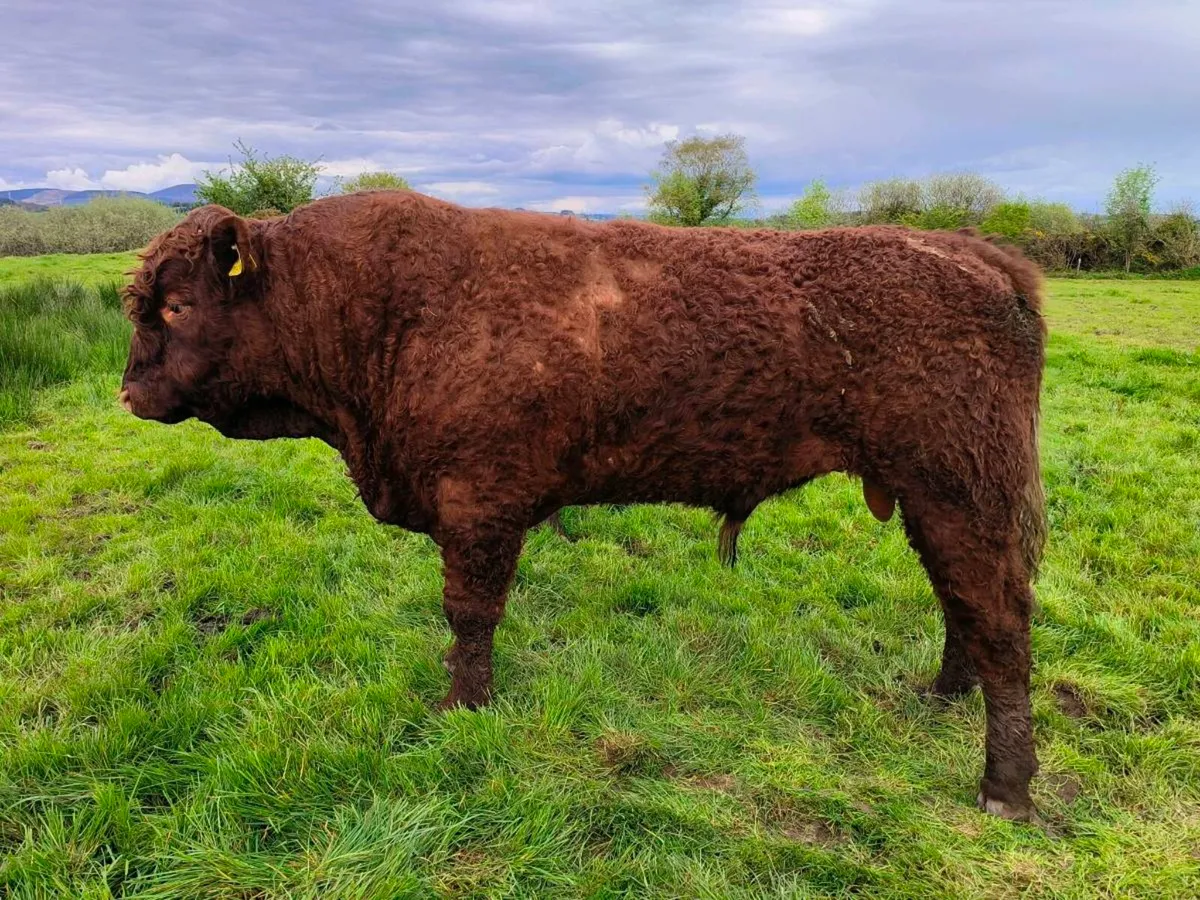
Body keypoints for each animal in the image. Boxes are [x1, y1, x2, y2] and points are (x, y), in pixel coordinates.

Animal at [119, 190, 1048, 820]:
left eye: (178, 304)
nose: (129, 392)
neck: (375, 312)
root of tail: (972, 253)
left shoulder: (479, 508)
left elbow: (469, 613)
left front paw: (462, 709)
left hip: (964, 492)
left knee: (1000, 620)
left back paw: (1002, 788)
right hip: (938, 500)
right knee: (962, 604)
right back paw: (942, 695)